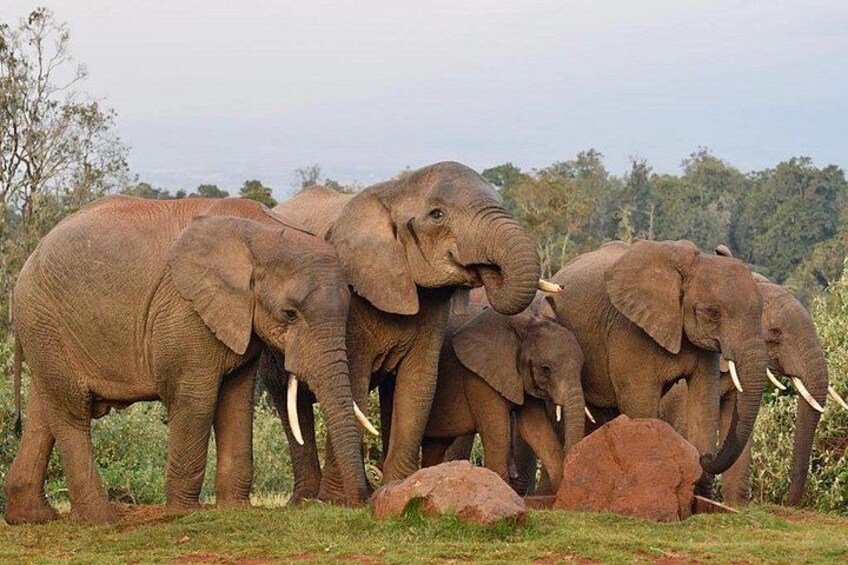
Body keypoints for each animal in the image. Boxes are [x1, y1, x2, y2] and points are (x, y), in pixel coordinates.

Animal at [4, 195, 368, 525]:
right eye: (289, 313)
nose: (356, 505)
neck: (260, 233)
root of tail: (33, 253)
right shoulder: (186, 311)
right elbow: (195, 398)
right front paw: (183, 513)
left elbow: (237, 400)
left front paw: (235, 511)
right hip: (43, 317)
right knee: (71, 410)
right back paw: (101, 520)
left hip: (45, 329)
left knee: (43, 410)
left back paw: (33, 518)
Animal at [260, 161, 543, 504]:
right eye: (437, 214)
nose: (485, 267)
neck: (395, 191)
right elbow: (353, 384)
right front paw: (338, 501)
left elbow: (418, 383)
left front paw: (400, 489)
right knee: (291, 401)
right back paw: (303, 500)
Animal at [421, 295, 585, 494]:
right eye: (545, 369)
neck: (523, 323)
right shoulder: (478, 376)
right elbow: (499, 432)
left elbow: (537, 431)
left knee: (434, 447)